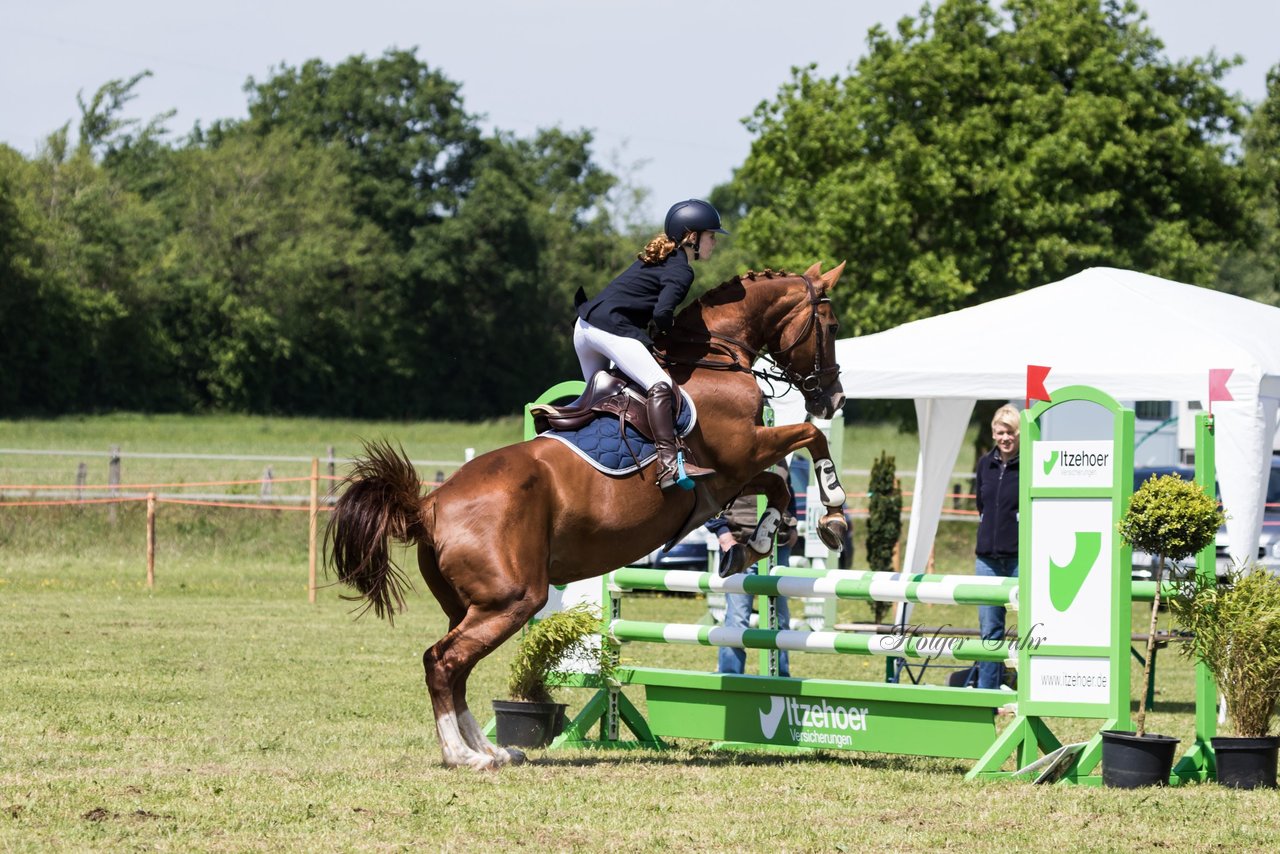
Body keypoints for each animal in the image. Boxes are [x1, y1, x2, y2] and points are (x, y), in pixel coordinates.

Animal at [327, 258, 849, 768]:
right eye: (831, 325)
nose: (834, 399)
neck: (714, 358)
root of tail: (429, 504)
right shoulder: (741, 453)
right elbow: (808, 440)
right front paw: (834, 514)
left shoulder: (728, 477)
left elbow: (778, 485)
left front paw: (758, 542)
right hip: (512, 599)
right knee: (443, 661)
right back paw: (464, 755)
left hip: (469, 604)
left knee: (457, 668)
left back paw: (493, 750)